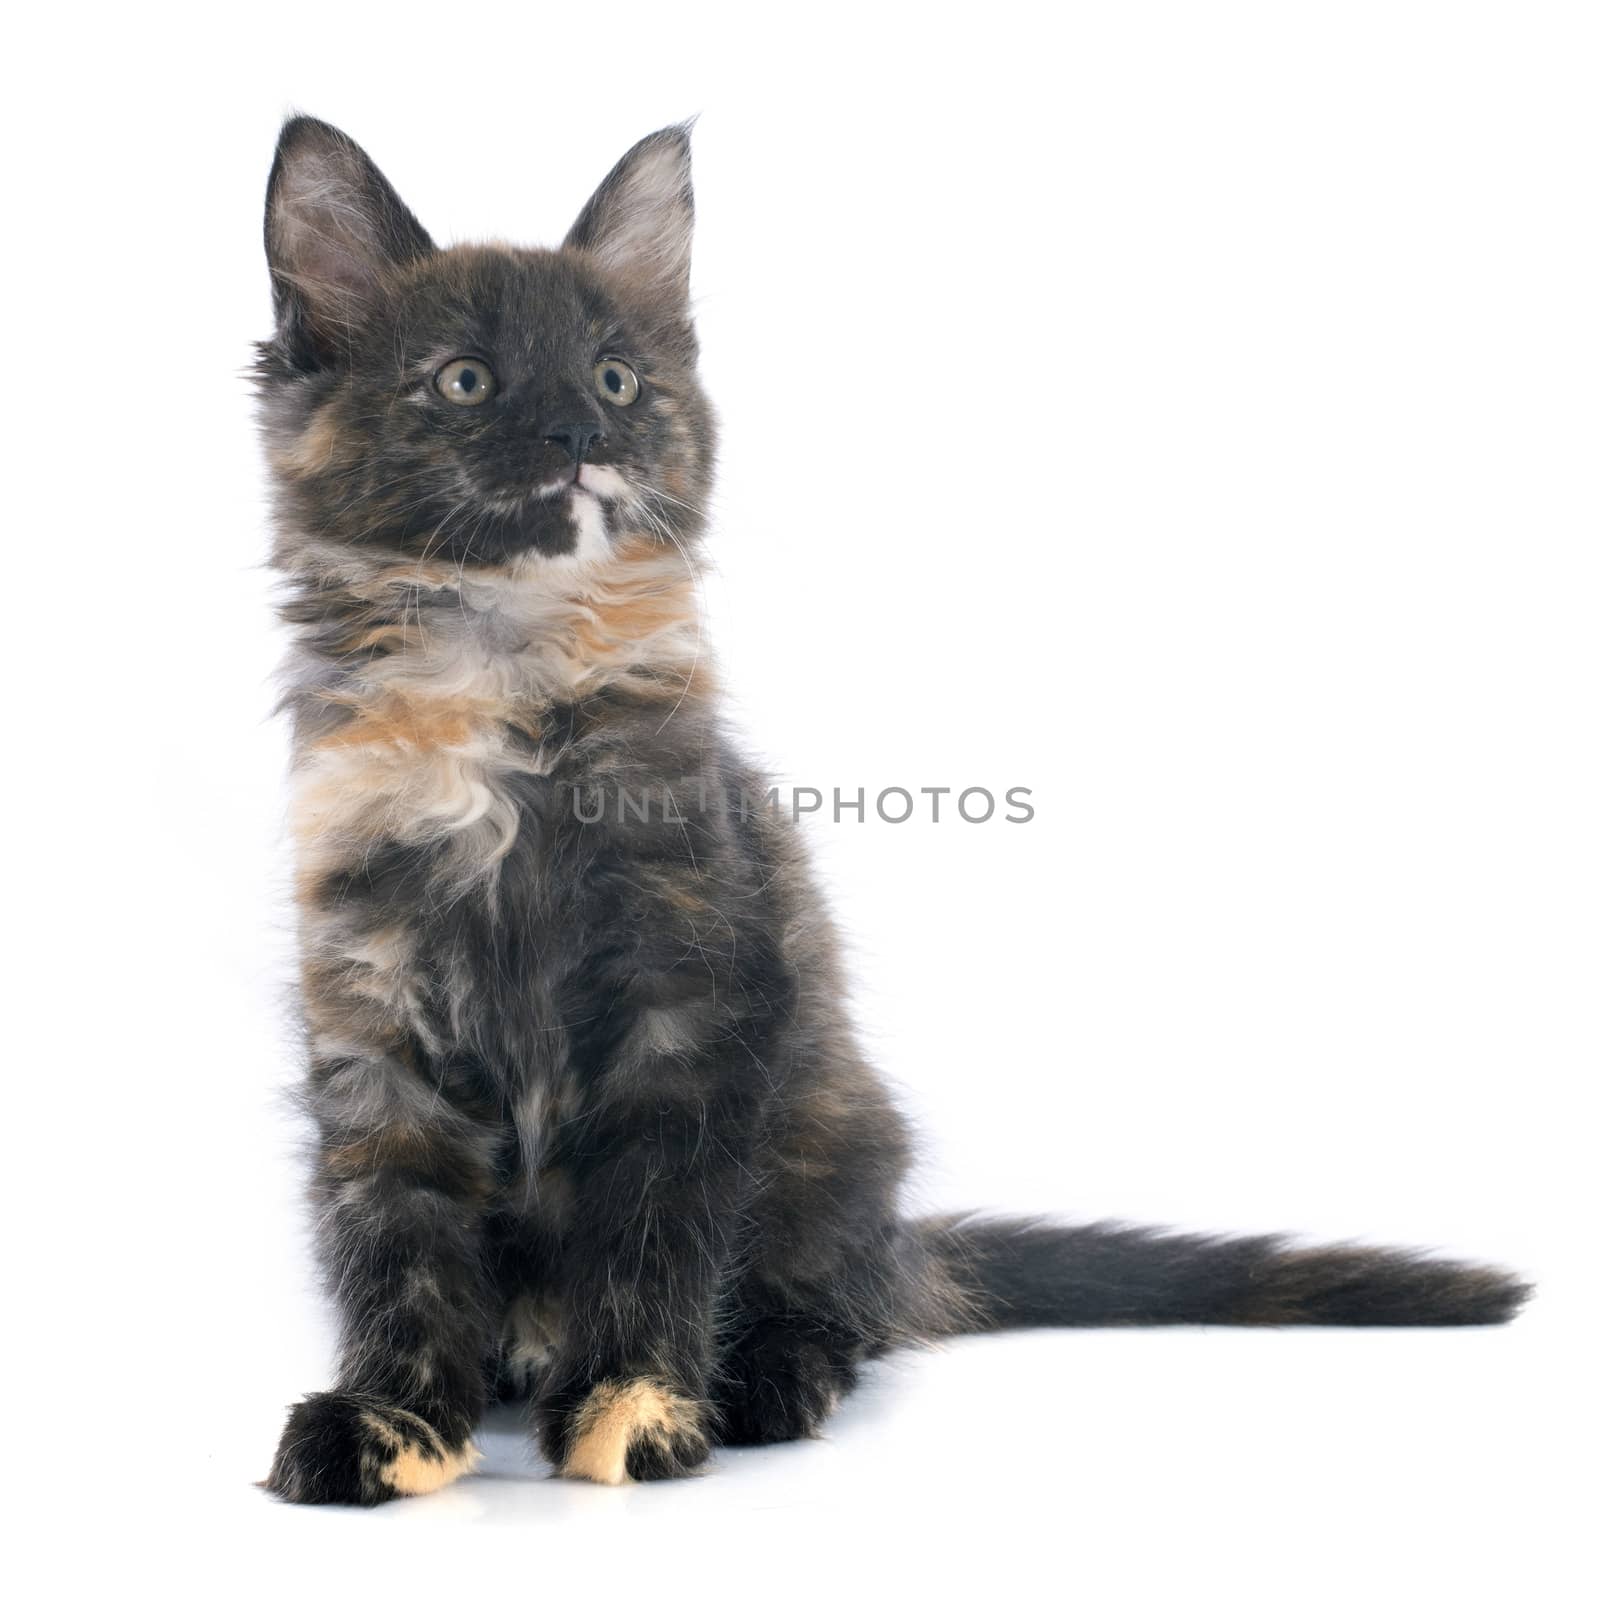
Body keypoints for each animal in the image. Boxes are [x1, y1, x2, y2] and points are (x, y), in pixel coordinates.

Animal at [256, 118, 1529, 1504]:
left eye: (615, 379)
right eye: (467, 383)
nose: (577, 431)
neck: (508, 667)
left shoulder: (689, 1014)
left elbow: (657, 1231)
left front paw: (637, 1401)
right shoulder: (372, 1031)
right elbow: (397, 1248)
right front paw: (394, 1418)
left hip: (835, 1133)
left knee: (832, 1304)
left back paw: (763, 1378)